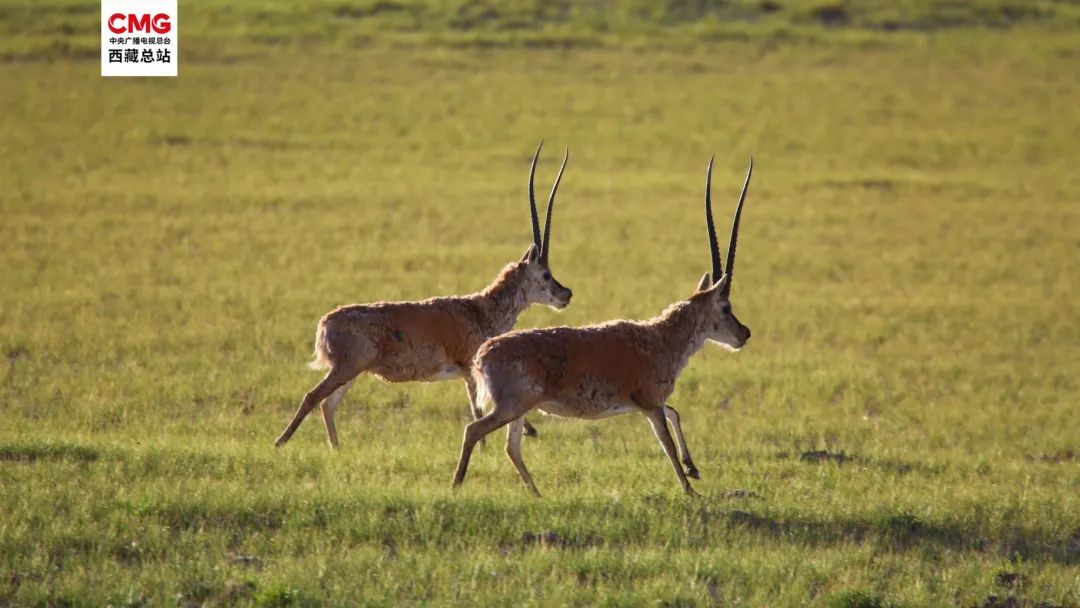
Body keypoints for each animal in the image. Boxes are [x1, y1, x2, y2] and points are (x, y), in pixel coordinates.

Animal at [274, 143, 572, 449]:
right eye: (546, 274)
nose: (566, 294)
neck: (480, 309)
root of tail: (325, 322)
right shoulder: (468, 369)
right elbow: (477, 409)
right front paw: (490, 447)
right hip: (345, 368)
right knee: (313, 397)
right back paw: (280, 442)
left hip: (350, 372)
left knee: (327, 404)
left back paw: (336, 449)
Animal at [451, 156, 754, 497]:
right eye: (726, 308)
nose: (744, 333)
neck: (661, 337)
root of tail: (483, 354)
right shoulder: (649, 405)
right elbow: (666, 444)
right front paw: (690, 490)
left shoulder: (645, 403)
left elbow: (674, 414)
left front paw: (694, 469)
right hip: (510, 407)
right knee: (474, 430)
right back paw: (457, 484)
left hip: (518, 410)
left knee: (511, 447)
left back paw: (538, 495)